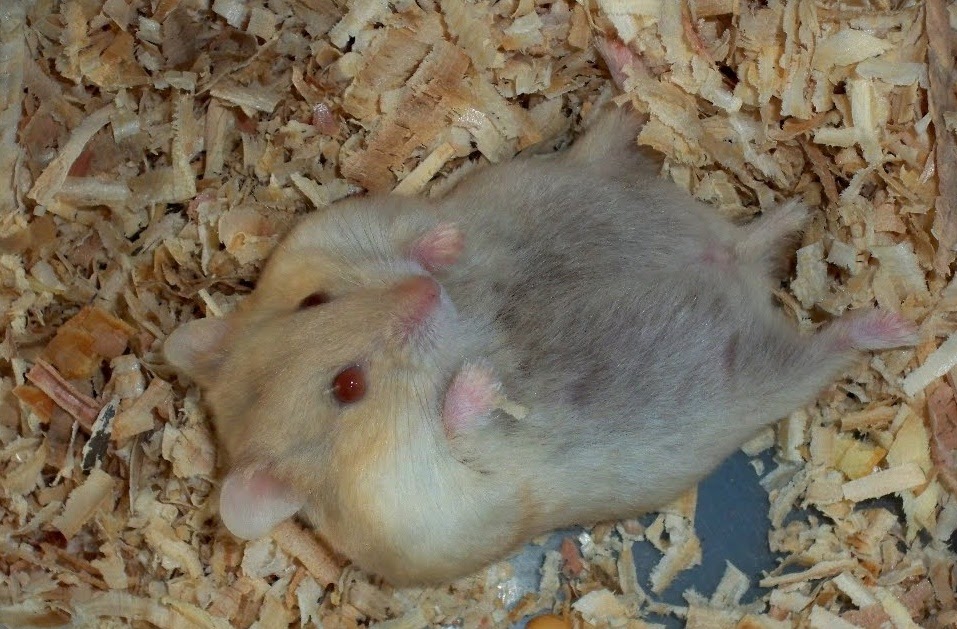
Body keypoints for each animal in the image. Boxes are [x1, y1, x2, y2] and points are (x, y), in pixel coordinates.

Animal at [164, 107, 917, 585]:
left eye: (314, 300)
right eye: (348, 387)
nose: (426, 295)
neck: (457, 330)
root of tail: (735, 263)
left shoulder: (334, 226)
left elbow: (403, 224)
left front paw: (445, 245)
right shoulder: (443, 517)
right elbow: (462, 434)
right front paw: (479, 383)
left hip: (583, 174)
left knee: (618, 132)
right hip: (766, 375)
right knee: (824, 347)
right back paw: (890, 323)